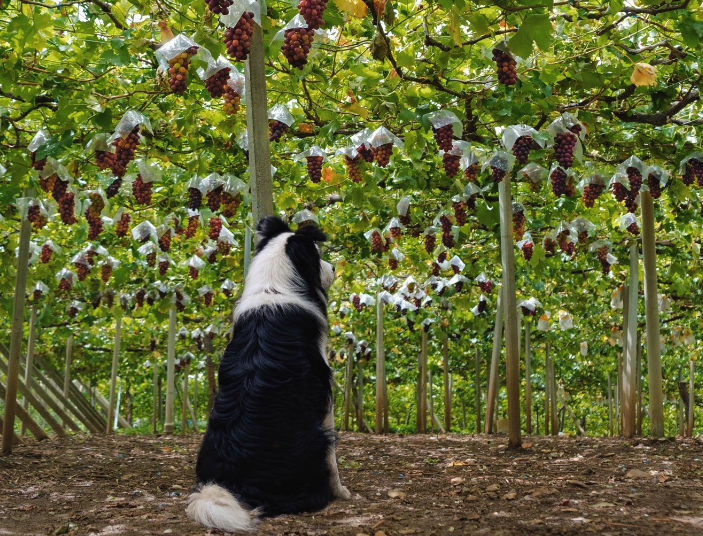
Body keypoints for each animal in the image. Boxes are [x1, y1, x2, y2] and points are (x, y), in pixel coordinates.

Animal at [188, 217, 350, 532]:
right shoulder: (323, 388)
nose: (335, 268)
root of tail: (231, 486)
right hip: (316, 439)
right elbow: (333, 461)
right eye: (317, 256)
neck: (273, 288)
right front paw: (342, 491)